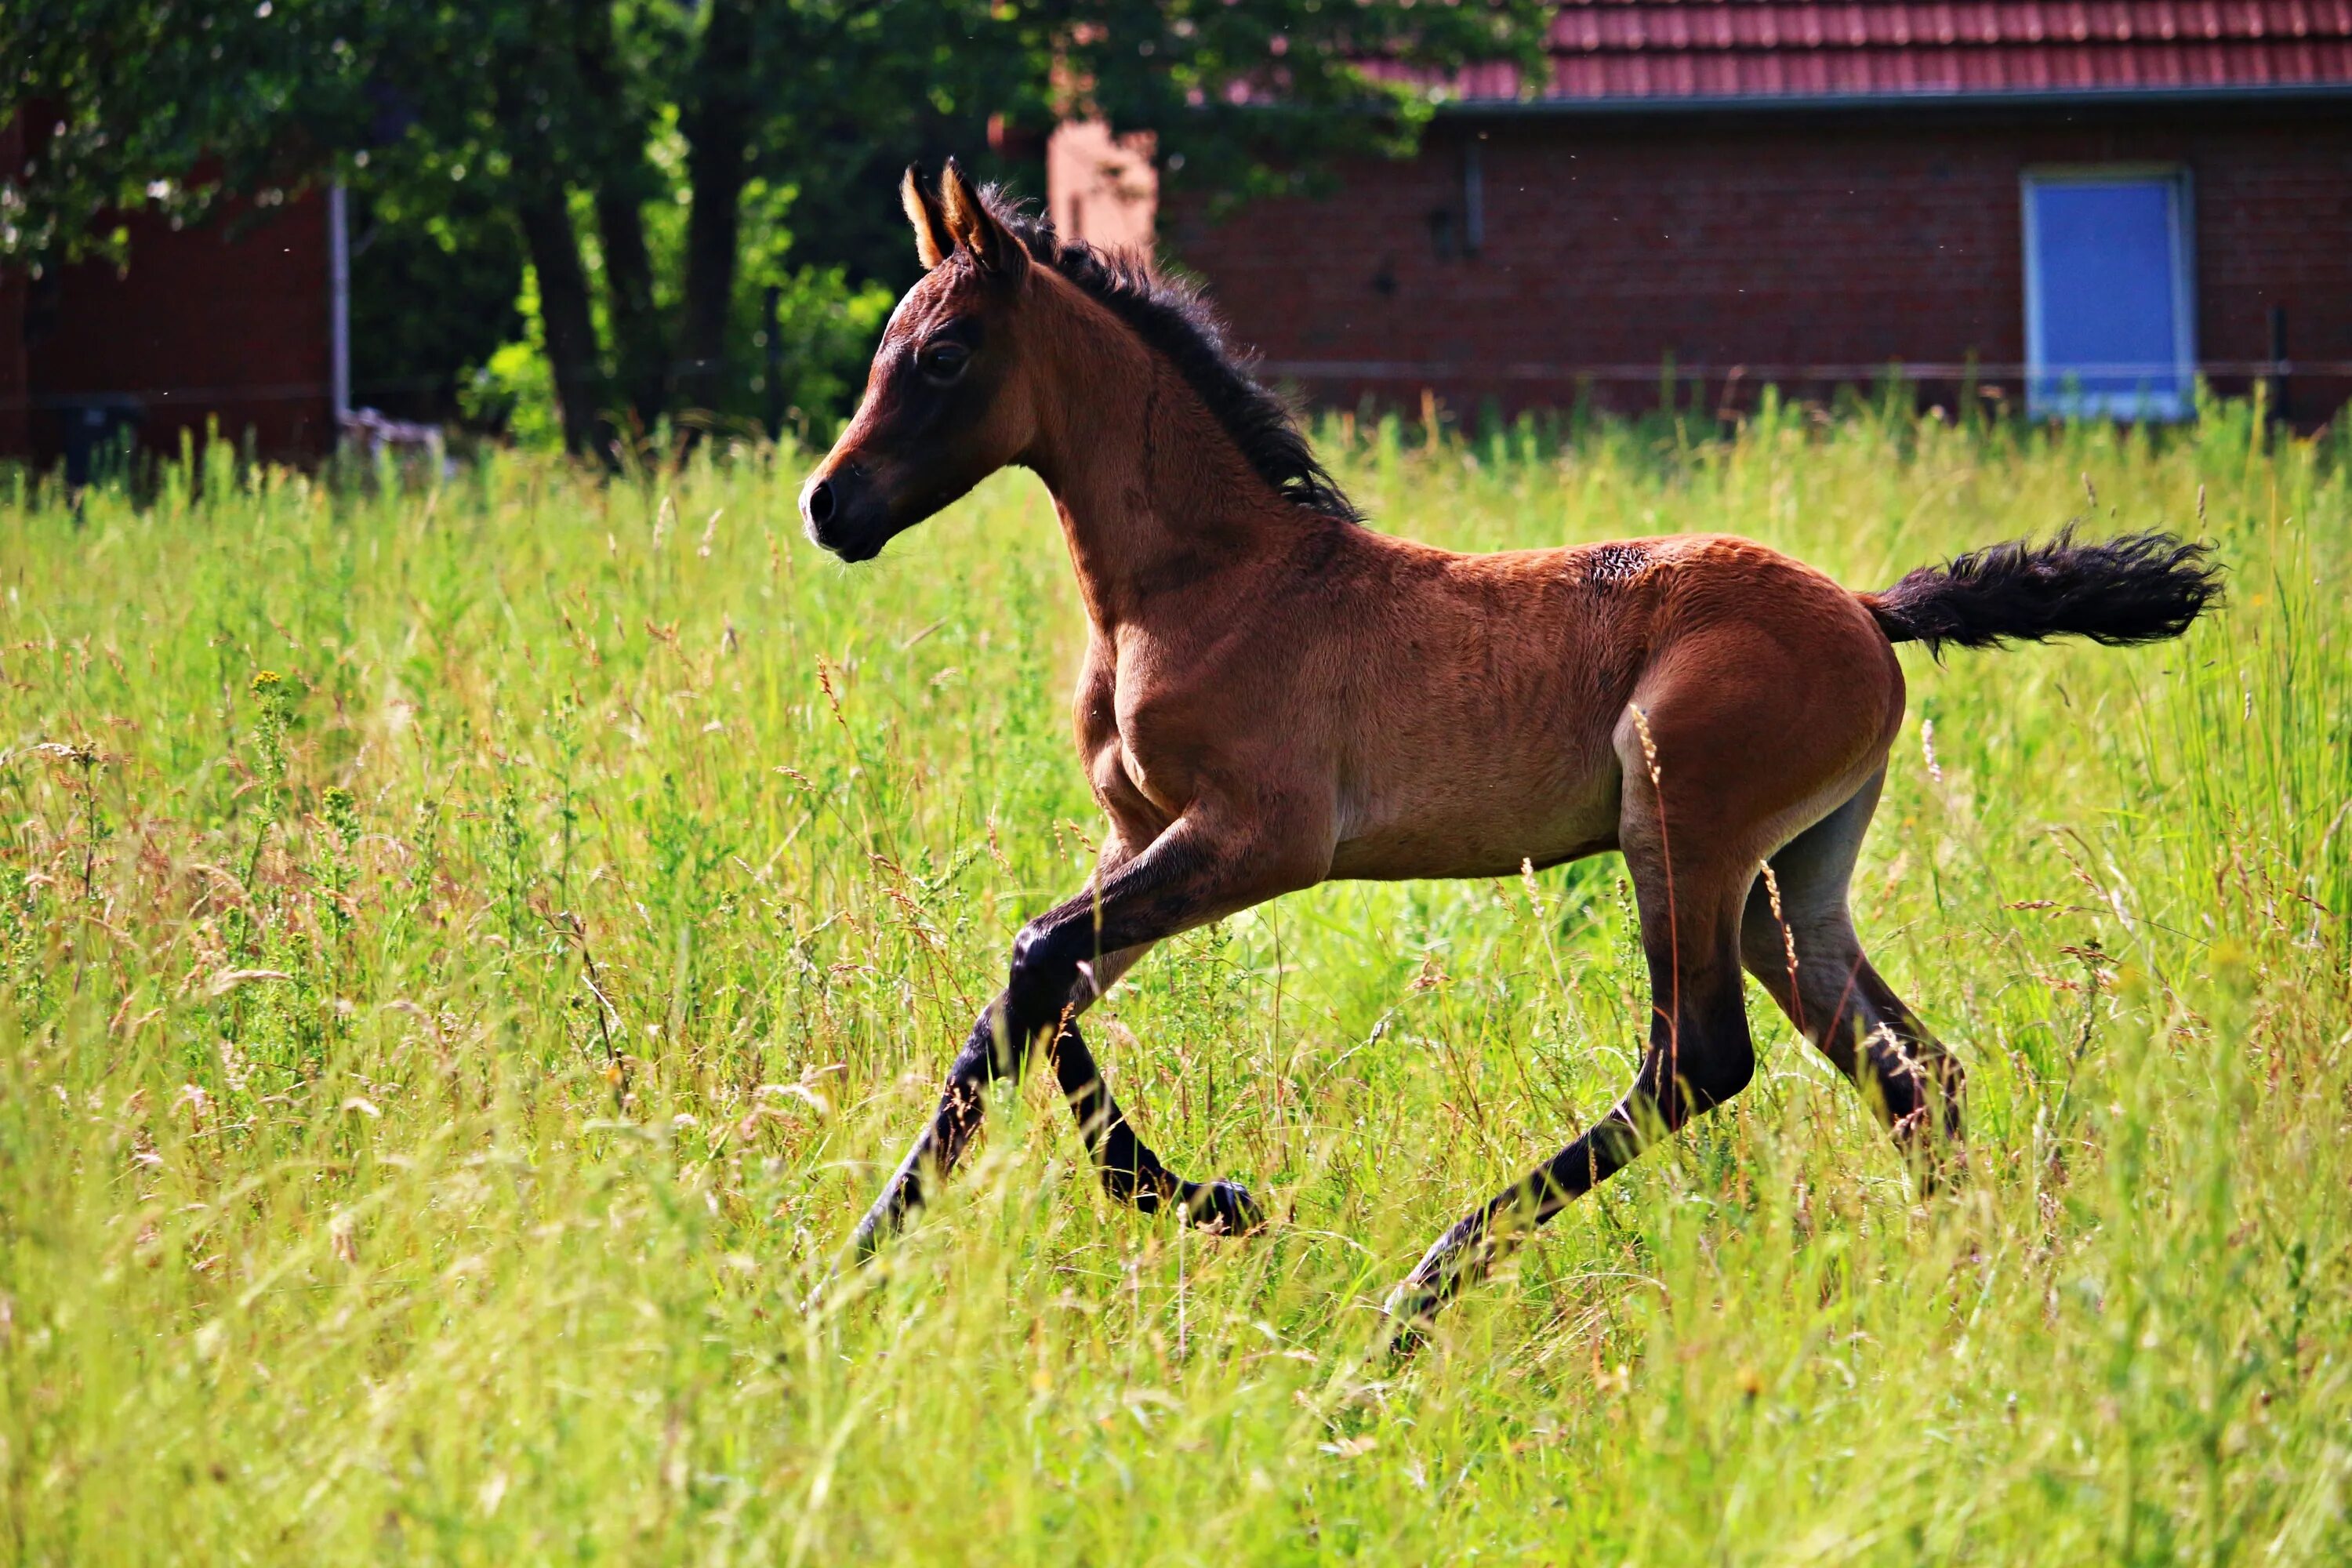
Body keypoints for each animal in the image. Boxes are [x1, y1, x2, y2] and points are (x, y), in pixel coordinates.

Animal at [800, 165, 2211, 1354]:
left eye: (942, 355)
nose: (829, 505)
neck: (1207, 585)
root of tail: (1869, 610)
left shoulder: (1262, 839)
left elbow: (1038, 960)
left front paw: (1207, 1199)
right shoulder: (1140, 835)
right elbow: (1026, 998)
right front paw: (851, 1266)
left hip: (1679, 835)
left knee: (1700, 1063)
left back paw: (1414, 1307)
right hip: (1789, 881)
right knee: (1917, 1071)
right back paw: (1981, 1294)